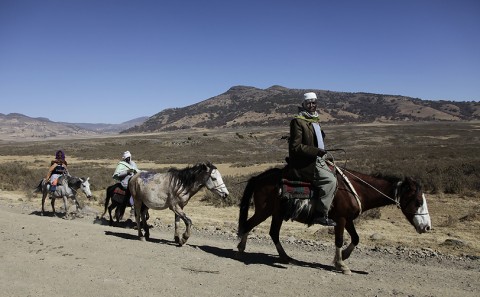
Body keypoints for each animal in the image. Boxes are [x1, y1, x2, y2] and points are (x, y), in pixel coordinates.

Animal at [236, 164, 432, 272]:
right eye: (417, 201)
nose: (427, 227)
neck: (356, 190)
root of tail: (259, 177)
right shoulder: (341, 219)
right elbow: (339, 240)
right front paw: (341, 264)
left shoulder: (348, 219)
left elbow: (356, 238)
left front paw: (344, 256)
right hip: (265, 211)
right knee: (250, 224)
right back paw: (241, 248)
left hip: (275, 213)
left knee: (272, 232)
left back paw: (284, 257)